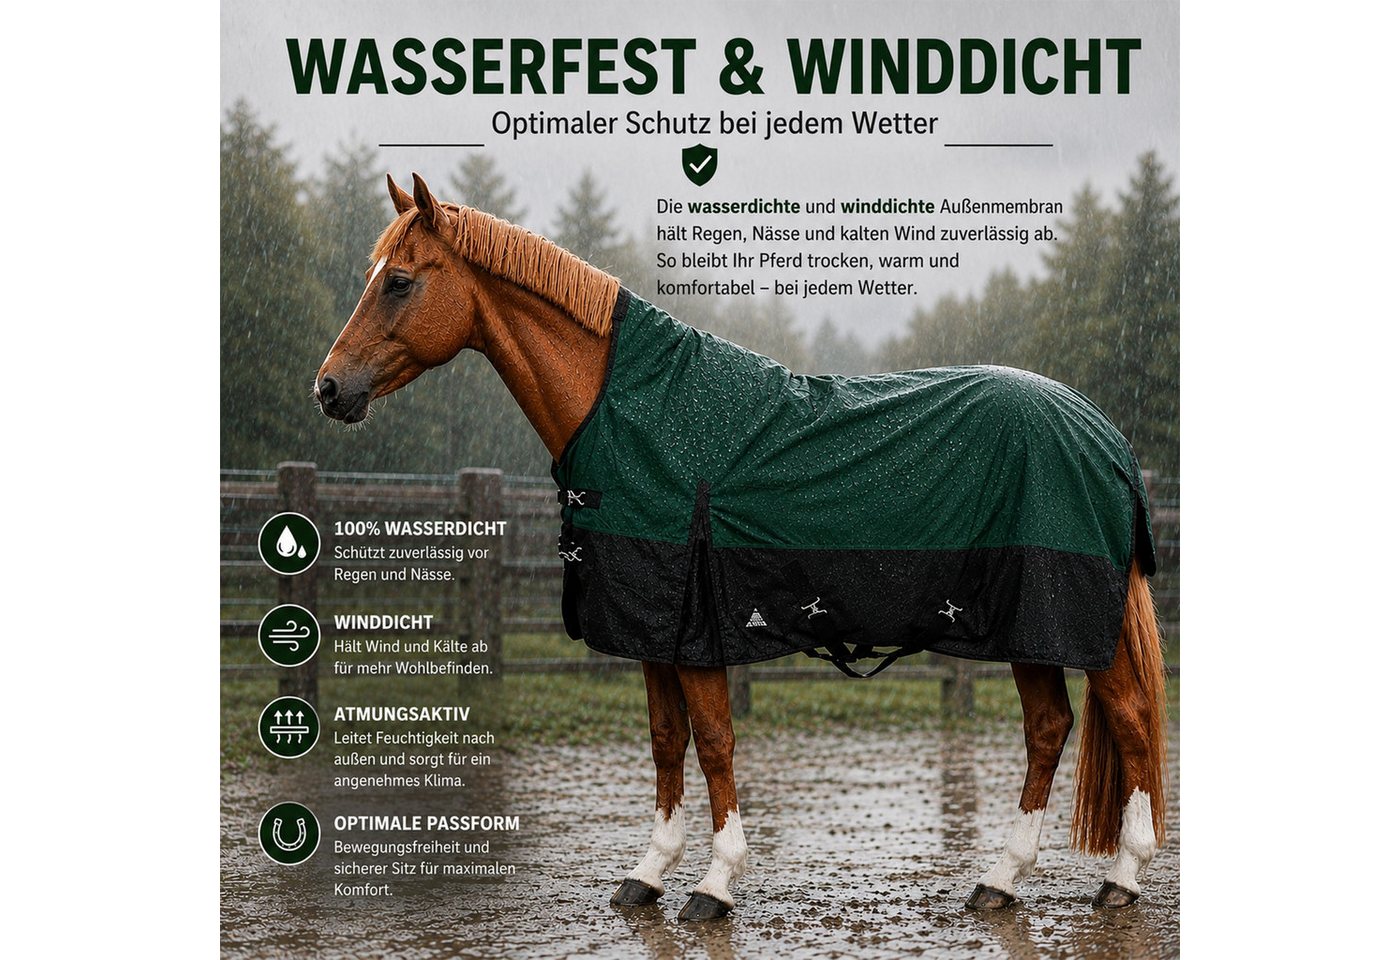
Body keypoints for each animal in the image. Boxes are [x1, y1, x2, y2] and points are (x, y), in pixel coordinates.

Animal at [315, 173, 1168, 920]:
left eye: (399, 281)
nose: (328, 388)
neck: (643, 414)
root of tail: (1102, 434)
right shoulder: (653, 629)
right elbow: (668, 743)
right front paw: (648, 873)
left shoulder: (698, 631)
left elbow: (716, 744)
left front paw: (716, 882)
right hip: (1030, 628)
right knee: (1050, 729)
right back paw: (1001, 880)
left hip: (1058, 616)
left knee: (1123, 718)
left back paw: (1121, 877)